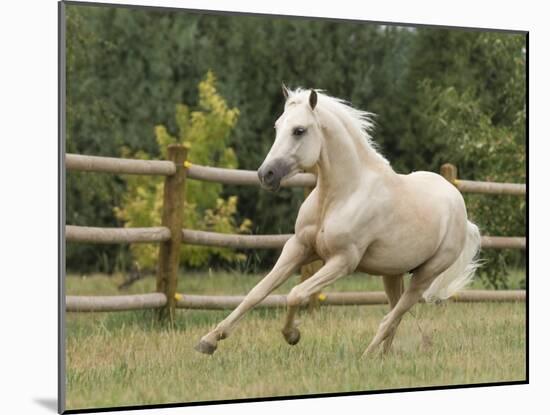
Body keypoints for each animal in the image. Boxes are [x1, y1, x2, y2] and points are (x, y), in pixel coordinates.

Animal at [196, 87, 480, 358]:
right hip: (392, 273)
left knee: (392, 316)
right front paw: (208, 341)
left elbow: (295, 294)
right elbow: (257, 292)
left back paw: (367, 356)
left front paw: (292, 335)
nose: (266, 174)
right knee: (394, 313)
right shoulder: (298, 248)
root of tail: (460, 209)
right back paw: (384, 355)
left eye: (299, 130)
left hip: (425, 274)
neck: (340, 196)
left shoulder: (342, 261)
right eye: (277, 126)